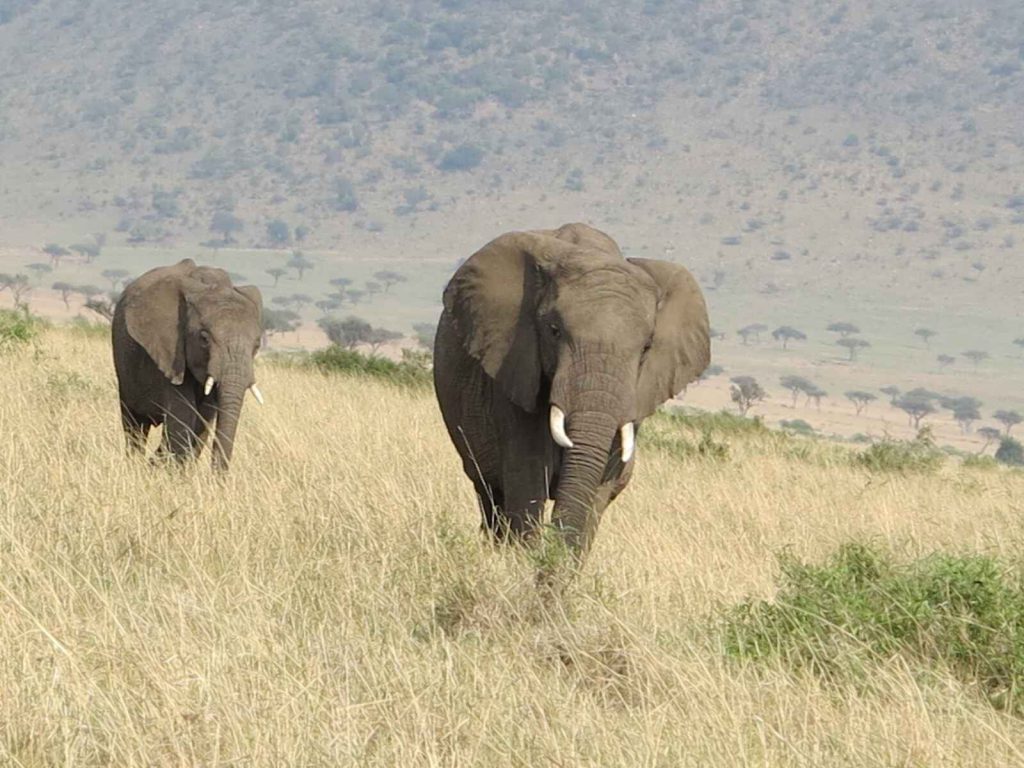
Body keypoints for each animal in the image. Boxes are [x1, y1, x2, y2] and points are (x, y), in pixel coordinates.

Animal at [112, 258, 264, 470]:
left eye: (257, 344)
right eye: (204, 339)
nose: (217, 477)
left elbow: (202, 421)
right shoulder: (169, 353)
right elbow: (183, 417)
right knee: (135, 424)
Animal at [434, 223, 710, 562]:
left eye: (646, 348)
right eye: (553, 331)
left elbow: (598, 488)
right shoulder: (515, 366)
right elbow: (527, 478)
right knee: (490, 493)